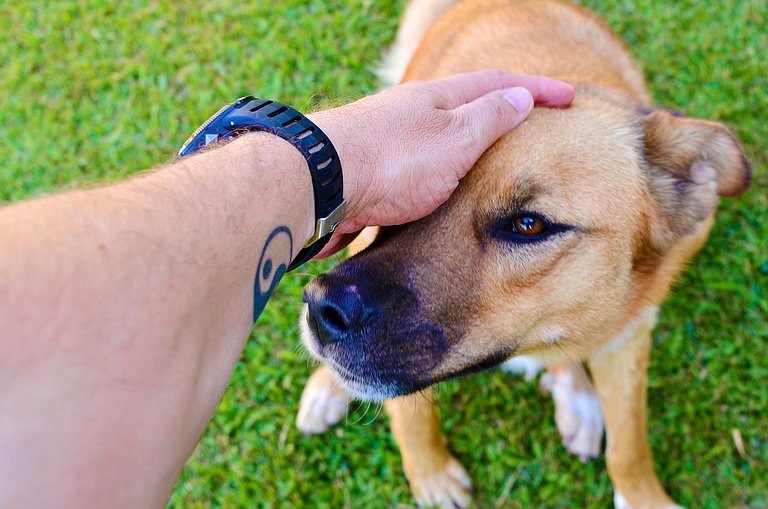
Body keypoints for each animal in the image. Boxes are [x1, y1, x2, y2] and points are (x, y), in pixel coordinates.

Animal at [298, 1, 752, 506]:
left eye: (529, 225)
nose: (320, 312)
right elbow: (410, 416)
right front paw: (432, 476)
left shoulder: (630, 331)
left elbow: (630, 444)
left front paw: (642, 496)